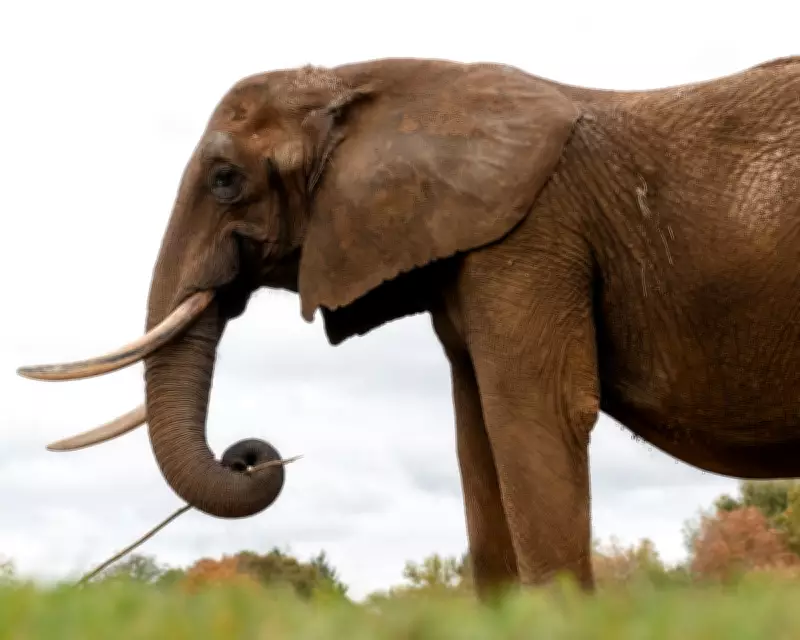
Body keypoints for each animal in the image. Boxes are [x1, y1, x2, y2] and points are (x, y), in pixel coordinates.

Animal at [17, 55, 800, 599]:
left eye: (224, 181)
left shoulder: (528, 240)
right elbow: (476, 439)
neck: (365, 84)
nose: (253, 457)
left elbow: (536, 419)